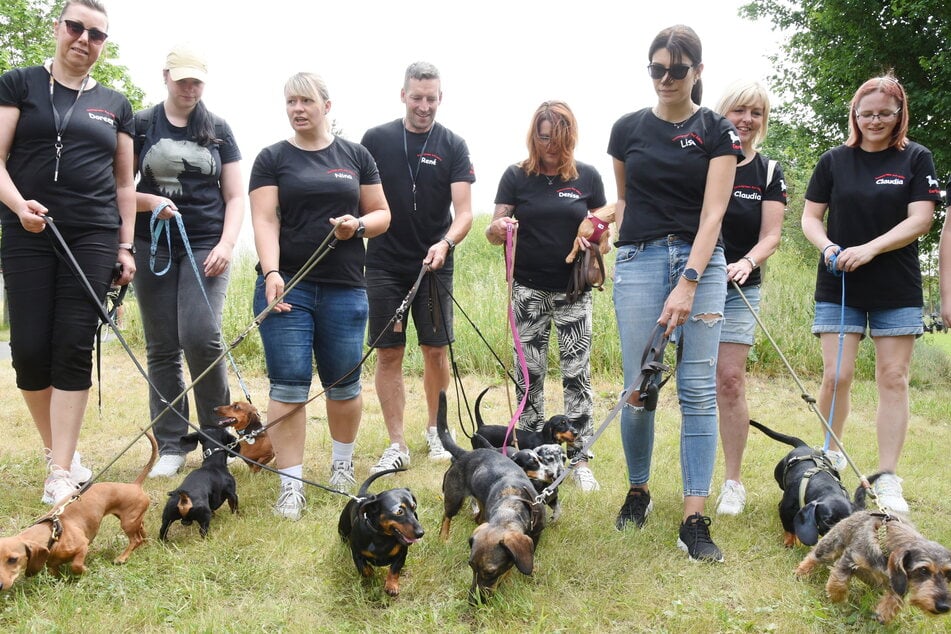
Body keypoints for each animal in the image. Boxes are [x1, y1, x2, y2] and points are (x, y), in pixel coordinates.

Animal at [0, 430, 158, 588]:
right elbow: (54, 572)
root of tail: (134, 485)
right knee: (141, 530)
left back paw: (122, 557)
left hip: (127, 522)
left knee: (135, 539)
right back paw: (145, 544)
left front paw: (84, 571)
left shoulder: (83, 545)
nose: (0, 585)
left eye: (13, 559)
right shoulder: (52, 564)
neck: (53, 533)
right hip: (132, 518)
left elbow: (75, 565)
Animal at [796, 508, 951, 624]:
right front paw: (837, 598)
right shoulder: (850, 559)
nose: (944, 606)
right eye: (923, 570)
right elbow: (839, 581)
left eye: (948, 574)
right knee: (814, 556)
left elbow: (894, 600)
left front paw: (883, 615)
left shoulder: (899, 582)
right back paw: (801, 571)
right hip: (831, 545)